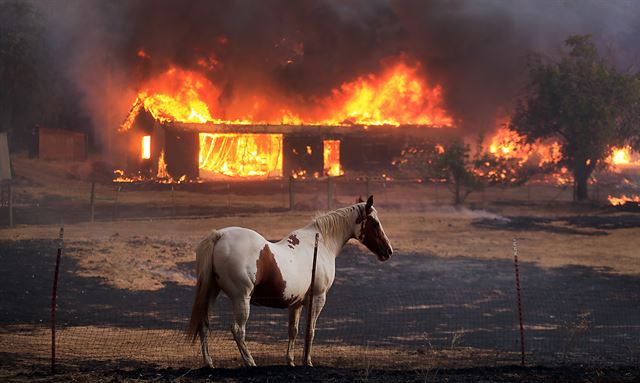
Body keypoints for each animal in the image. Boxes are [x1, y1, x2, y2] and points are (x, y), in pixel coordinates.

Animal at [188, 196, 392, 368]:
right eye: (375, 223)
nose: (388, 251)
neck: (319, 244)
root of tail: (220, 235)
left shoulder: (296, 303)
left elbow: (293, 330)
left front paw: (291, 361)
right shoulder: (318, 299)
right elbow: (310, 330)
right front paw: (307, 361)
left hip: (211, 293)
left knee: (204, 325)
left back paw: (209, 363)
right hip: (241, 298)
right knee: (238, 330)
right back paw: (250, 362)